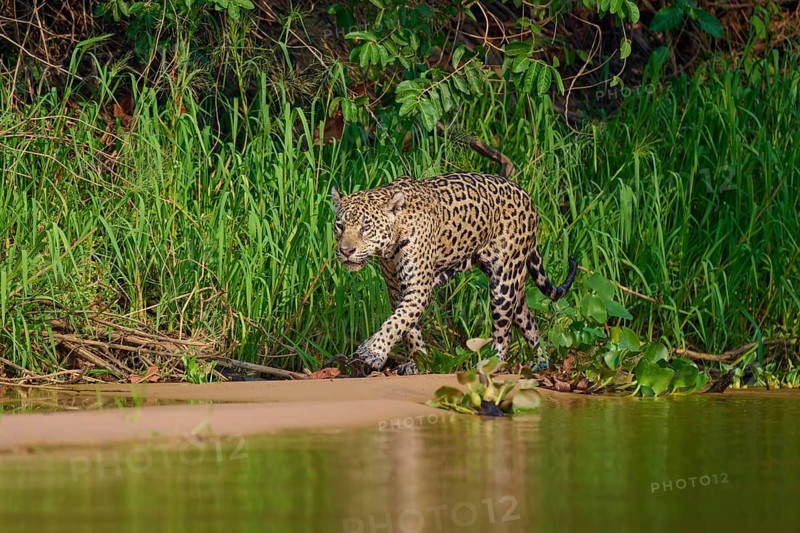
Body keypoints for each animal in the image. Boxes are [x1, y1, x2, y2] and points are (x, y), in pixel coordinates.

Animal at [331, 172, 577, 375]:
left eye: (366, 228)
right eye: (340, 226)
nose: (345, 251)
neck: (389, 245)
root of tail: (528, 199)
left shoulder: (418, 288)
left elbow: (397, 322)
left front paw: (372, 352)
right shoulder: (395, 288)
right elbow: (407, 326)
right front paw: (416, 361)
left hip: (504, 284)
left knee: (504, 333)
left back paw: (490, 363)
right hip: (515, 286)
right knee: (529, 321)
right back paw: (541, 362)